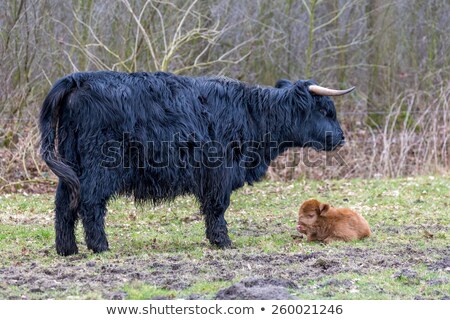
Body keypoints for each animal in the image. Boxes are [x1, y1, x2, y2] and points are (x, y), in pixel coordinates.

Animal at [38, 71, 354, 256]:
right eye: (325, 111)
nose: (342, 137)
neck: (253, 115)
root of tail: (80, 79)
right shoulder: (219, 171)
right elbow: (216, 207)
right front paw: (222, 240)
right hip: (102, 165)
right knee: (90, 202)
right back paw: (100, 246)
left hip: (72, 161)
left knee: (64, 201)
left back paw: (67, 249)